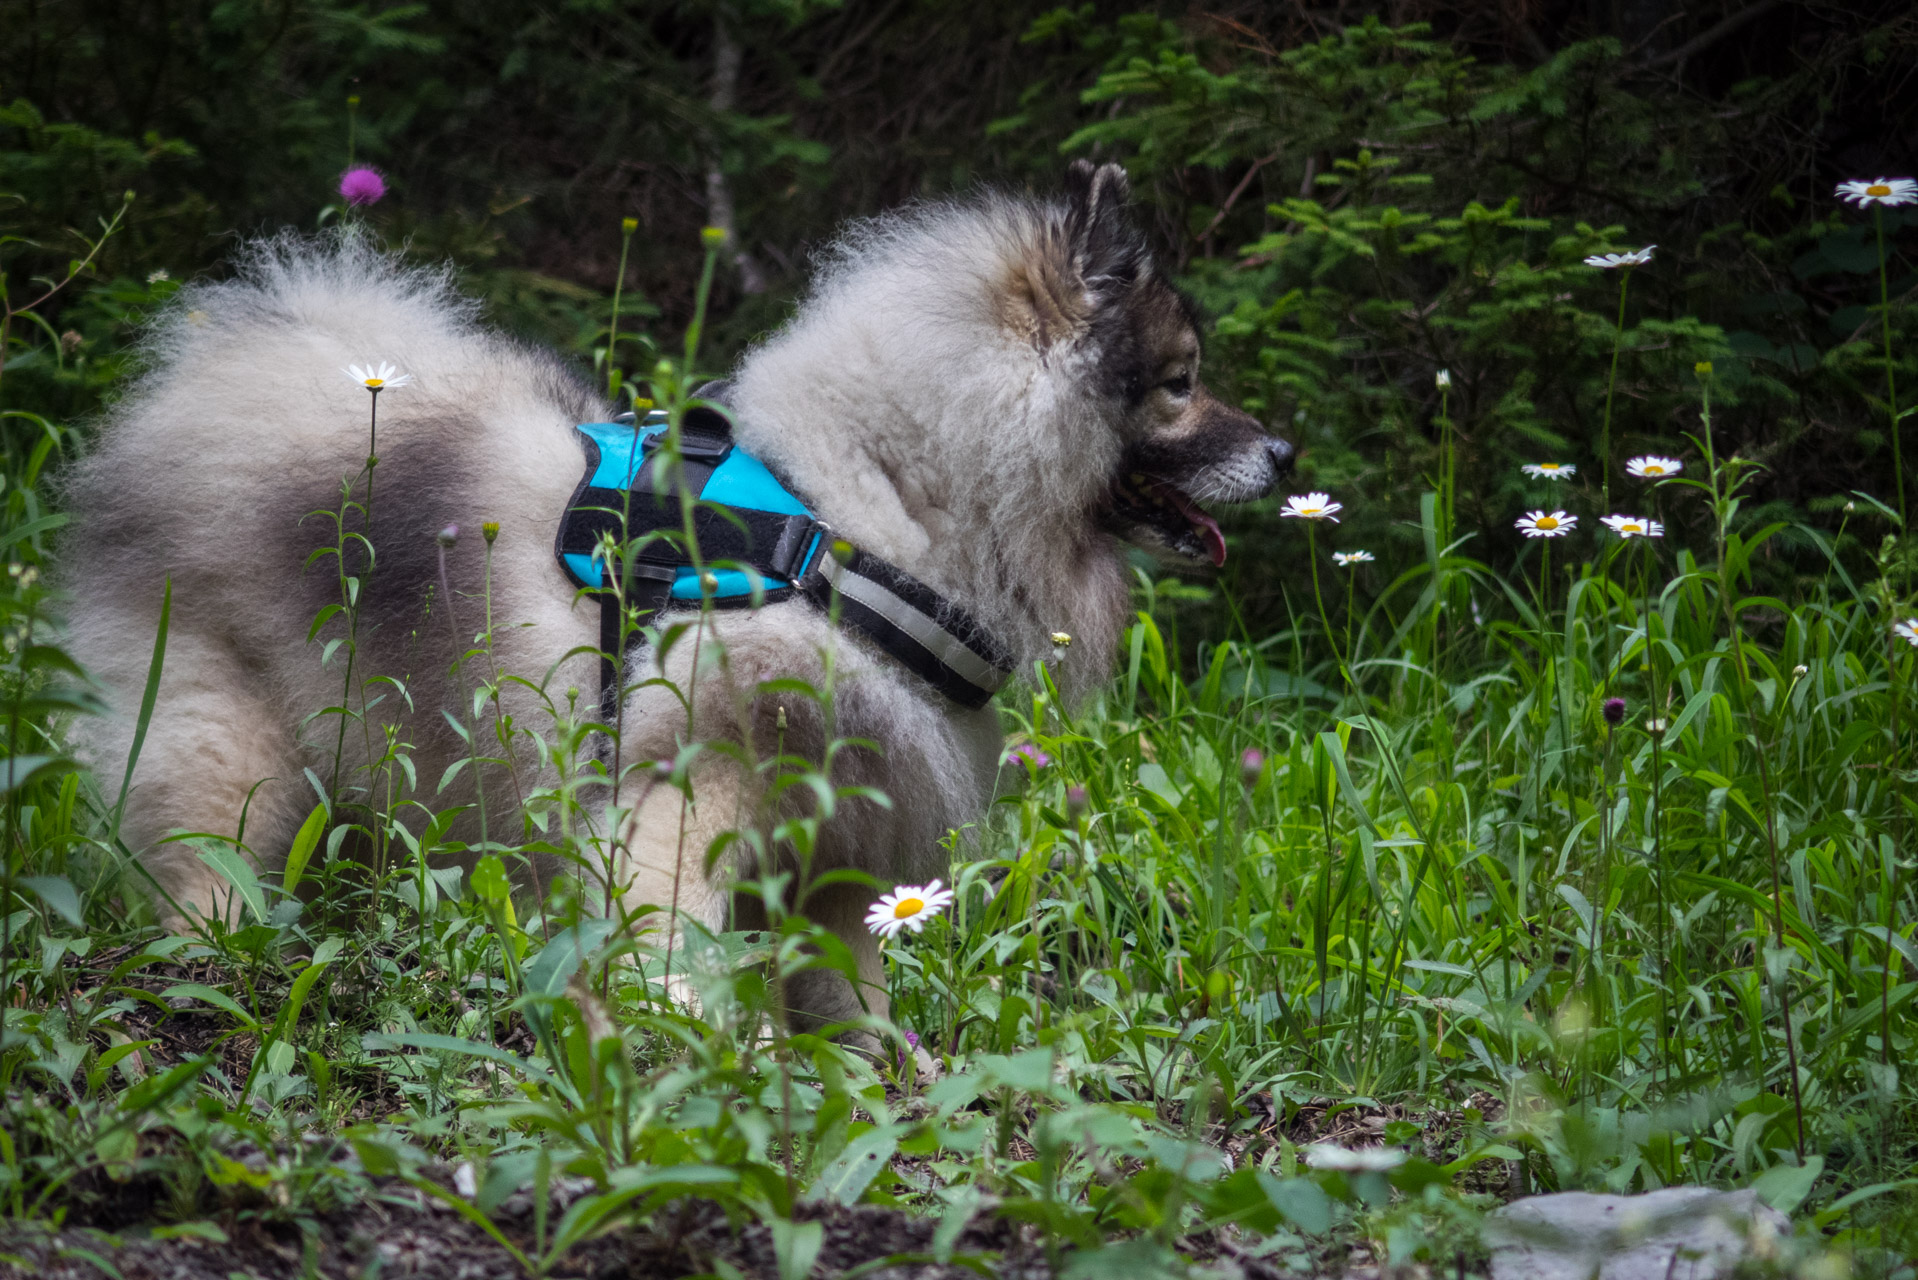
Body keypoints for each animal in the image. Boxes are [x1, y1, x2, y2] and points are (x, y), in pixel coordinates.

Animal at [63, 163, 1288, 1028]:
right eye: (1180, 384)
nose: (1285, 449)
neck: (861, 522)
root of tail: (223, 376)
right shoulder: (687, 793)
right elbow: (674, 949)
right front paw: (683, 1047)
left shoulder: (837, 856)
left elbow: (854, 1002)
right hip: (234, 745)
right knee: (199, 860)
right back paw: (218, 966)